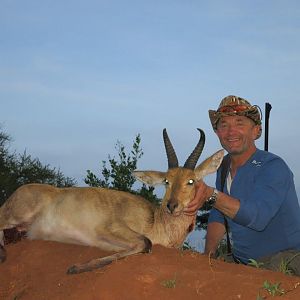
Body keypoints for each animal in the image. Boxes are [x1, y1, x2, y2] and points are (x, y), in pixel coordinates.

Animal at [0, 129, 223, 274]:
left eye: (191, 181)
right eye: (166, 181)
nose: (172, 205)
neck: (155, 220)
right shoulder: (106, 229)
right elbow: (146, 242)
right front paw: (75, 268)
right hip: (16, 214)